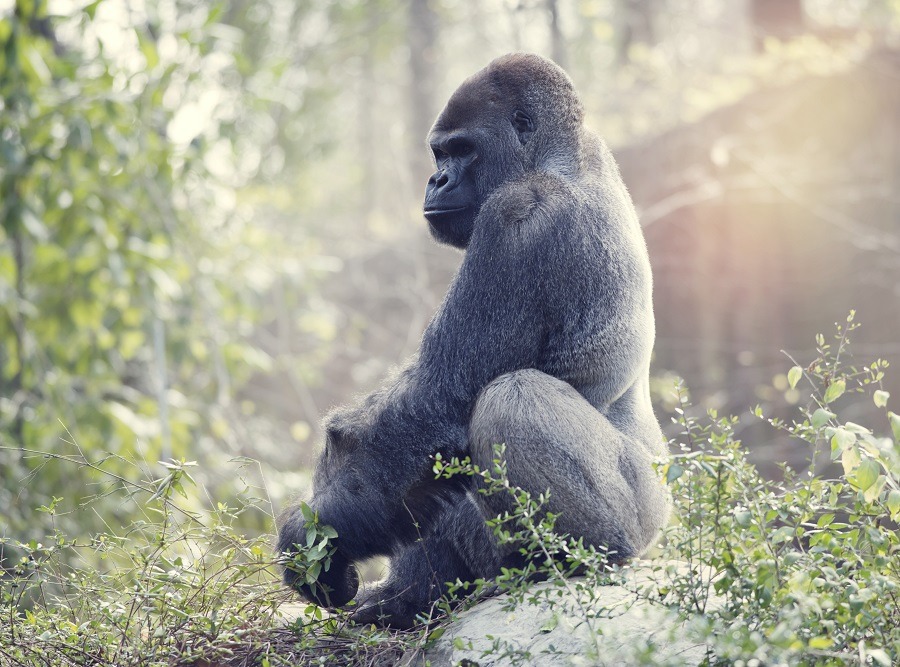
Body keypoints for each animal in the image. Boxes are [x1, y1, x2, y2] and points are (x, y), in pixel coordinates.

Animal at [278, 53, 672, 632]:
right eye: (439, 153)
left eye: (463, 150)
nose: (436, 179)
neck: (560, 157)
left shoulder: (518, 213)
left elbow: (437, 403)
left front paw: (320, 536)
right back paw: (411, 595)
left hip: (644, 516)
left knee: (512, 397)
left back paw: (571, 557)